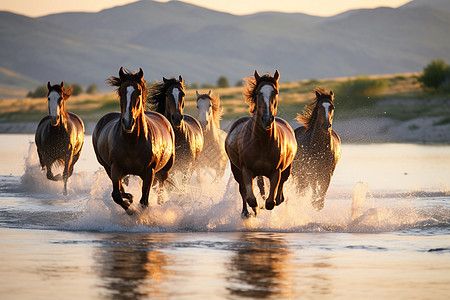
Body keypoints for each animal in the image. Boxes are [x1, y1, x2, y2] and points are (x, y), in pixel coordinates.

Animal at [92, 67, 175, 213]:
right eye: (120, 92)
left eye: (139, 91)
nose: (127, 122)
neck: (132, 142)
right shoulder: (116, 168)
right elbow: (116, 195)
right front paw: (130, 207)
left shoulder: (149, 172)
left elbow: (144, 201)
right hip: (107, 167)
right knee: (120, 188)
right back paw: (129, 197)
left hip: (165, 169)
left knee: (161, 187)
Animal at [225, 70, 298, 216]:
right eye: (259, 92)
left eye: (275, 92)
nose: (267, 119)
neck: (263, 143)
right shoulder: (246, 170)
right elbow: (250, 198)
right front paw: (255, 209)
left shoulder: (276, 171)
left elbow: (271, 201)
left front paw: (270, 203)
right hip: (236, 169)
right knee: (243, 191)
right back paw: (246, 213)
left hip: (286, 169)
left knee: (275, 188)